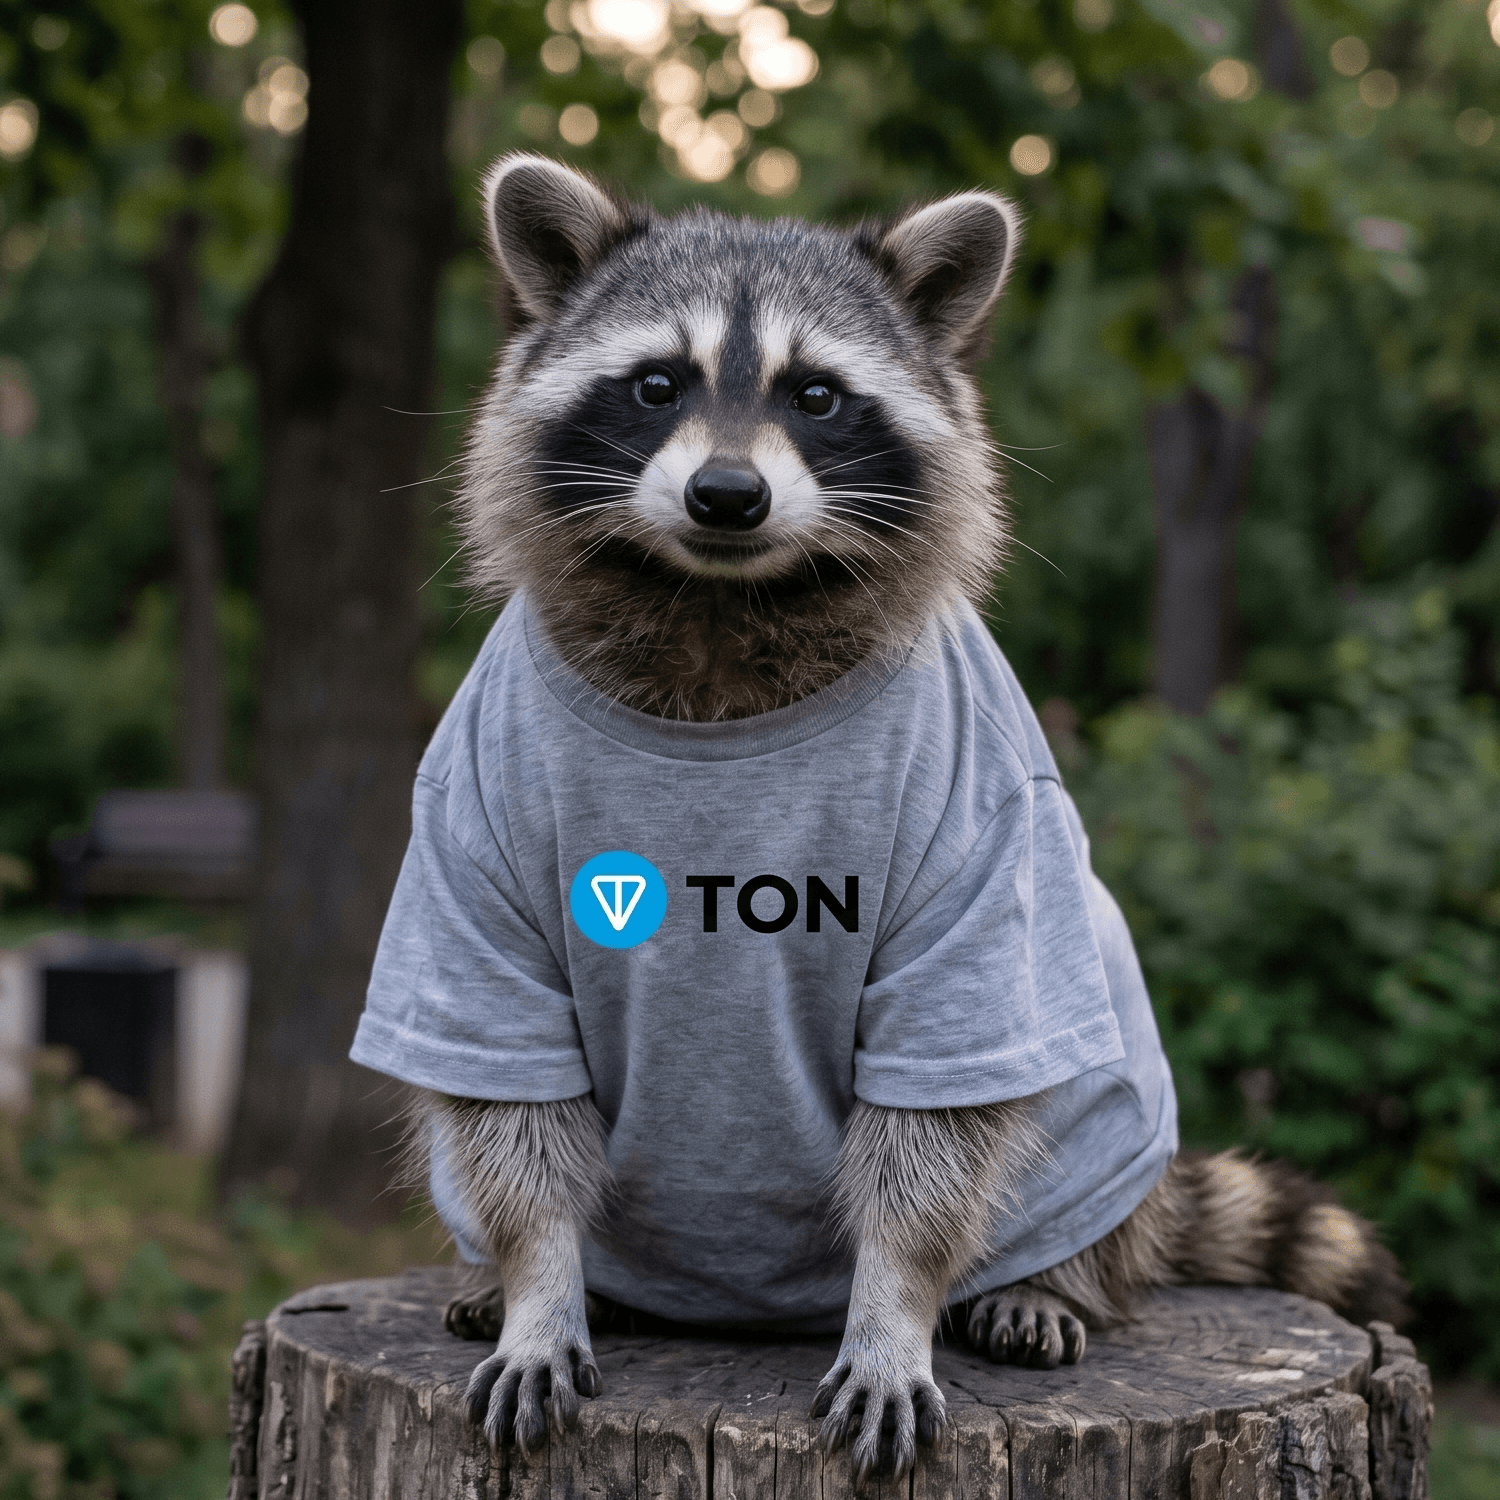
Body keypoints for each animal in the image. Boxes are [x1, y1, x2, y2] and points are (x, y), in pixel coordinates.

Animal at [351, 155, 1407, 1487]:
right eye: (656, 384)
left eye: (817, 396)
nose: (729, 495)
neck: (719, 602)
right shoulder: (471, 822)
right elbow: (508, 1099)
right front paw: (540, 1280)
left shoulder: (978, 828)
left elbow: (937, 1127)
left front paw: (896, 1307)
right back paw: (527, 1275)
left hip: (1103, 1110)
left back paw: (1052, 1279)